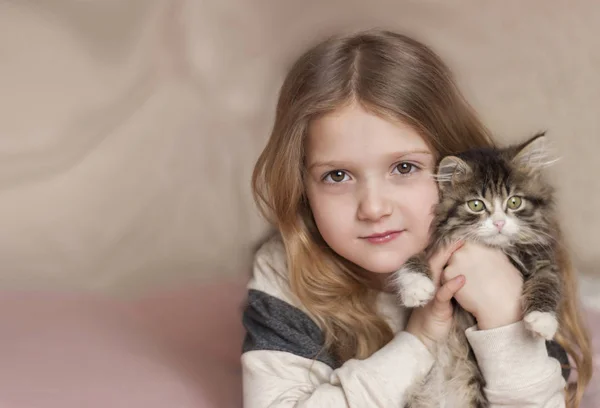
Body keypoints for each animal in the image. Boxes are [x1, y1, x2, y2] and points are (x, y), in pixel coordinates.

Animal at [394, 132, 564, 406]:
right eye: (476, 205)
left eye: (514, 202)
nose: (499, 223)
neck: (498, 248)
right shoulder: (436, 243)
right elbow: (413, 256)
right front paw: (416, 287)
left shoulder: (544, 262)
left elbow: (547, 284)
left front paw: (542, 320)